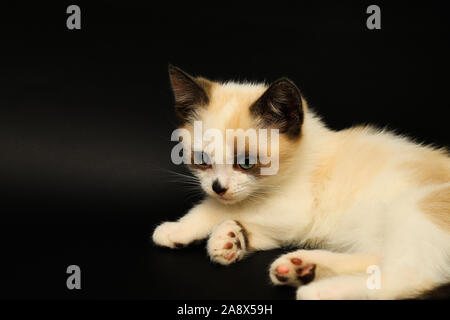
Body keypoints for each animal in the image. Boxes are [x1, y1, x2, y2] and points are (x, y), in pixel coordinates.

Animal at [153, 65, 448, 300]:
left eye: (246, 162)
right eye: (202, 159)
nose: (218, 187)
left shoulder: (296, 208)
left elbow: (221, 208)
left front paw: (181, 228)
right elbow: (239, 217)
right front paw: (230, 239)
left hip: (416, 206)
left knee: (409, 275)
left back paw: (318, 290)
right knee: (380, 258)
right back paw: (301, 268)